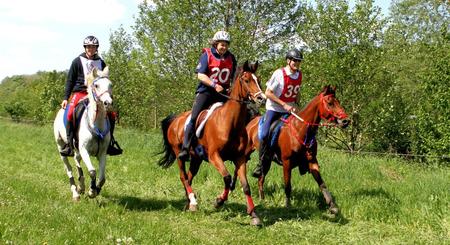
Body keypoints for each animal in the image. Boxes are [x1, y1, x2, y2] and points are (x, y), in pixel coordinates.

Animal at [158, 60, 266, 226]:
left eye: (258, 80)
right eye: (247, 80)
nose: (262, 98)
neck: (231, 123)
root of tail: (175, 120)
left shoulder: (240, 158)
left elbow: (245, 186)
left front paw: (254, 215)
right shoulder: (214, 156)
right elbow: (227, 178)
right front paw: (218, 202)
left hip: (196, 158)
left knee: (189, 177)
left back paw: (189, 203)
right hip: (179, 154)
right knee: (184, 177)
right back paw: (193, 201)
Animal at [244, 85, 350, 214]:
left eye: (338, 101)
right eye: (330, 103)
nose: (346, 121)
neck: (300, 129)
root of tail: (252, 121)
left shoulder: (312, 161)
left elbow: (322, 183)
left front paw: (332, 206)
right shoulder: (287, 162)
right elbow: (288, 185)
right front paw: (288, 205)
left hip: (267, 161)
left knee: (260, 179)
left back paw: (262, 199)